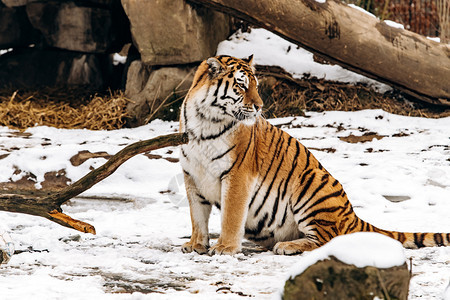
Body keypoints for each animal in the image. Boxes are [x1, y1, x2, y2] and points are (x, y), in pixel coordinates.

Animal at [178, 54, 446, 255]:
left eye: (256, 86)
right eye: (241, 85)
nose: (260, 106)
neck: (205, 122)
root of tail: (351, 216)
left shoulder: (237, 176)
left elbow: (231, 217)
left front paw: (225, 248)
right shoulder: (192, 176)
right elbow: (196, 215)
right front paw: (196, 245)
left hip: (312, 182)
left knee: (326, 240)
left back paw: (286, 246)